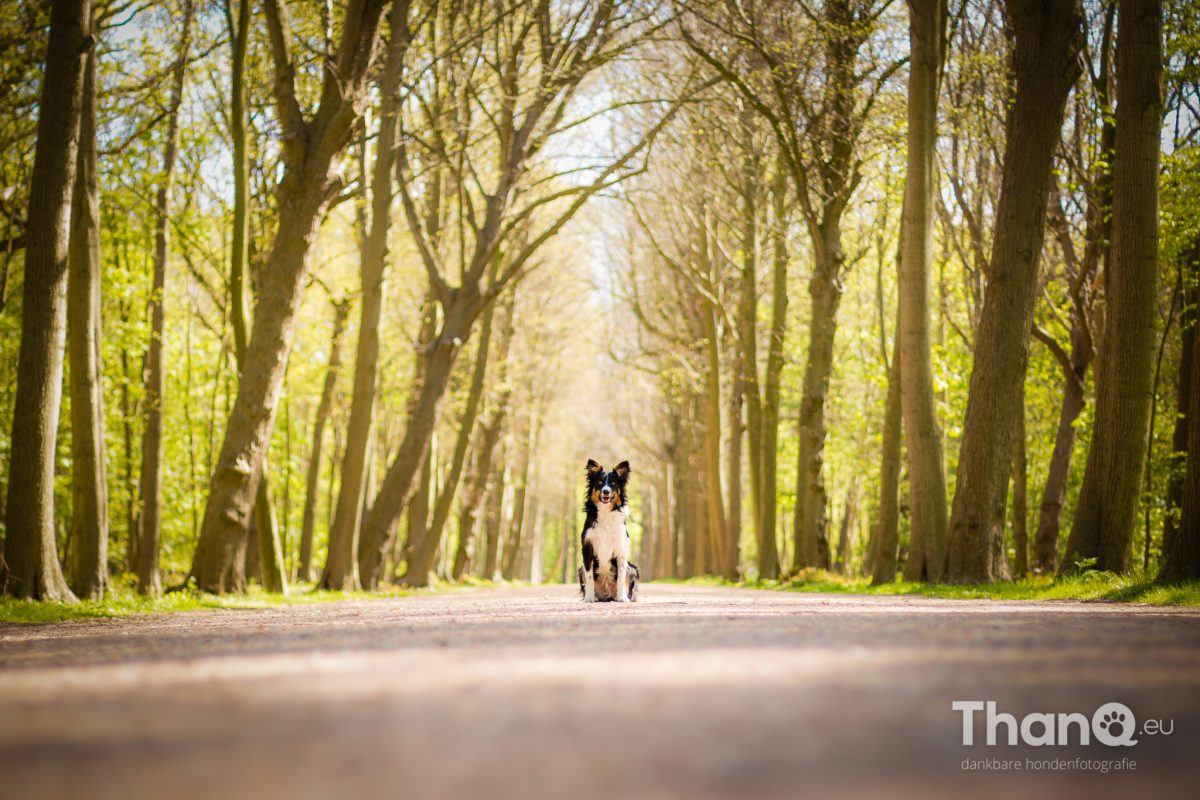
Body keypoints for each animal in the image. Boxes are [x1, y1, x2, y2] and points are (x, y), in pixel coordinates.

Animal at [578, 462, 643, 599]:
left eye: (613, 483)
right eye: (600, 482)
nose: (606, 491)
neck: (605, 512)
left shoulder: (621, 549)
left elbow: (621, 577)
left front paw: (622, 598)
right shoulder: (587, 547)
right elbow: (589, 577)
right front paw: (589, 598)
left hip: (632, 567)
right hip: (580, 569)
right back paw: (595, 597)